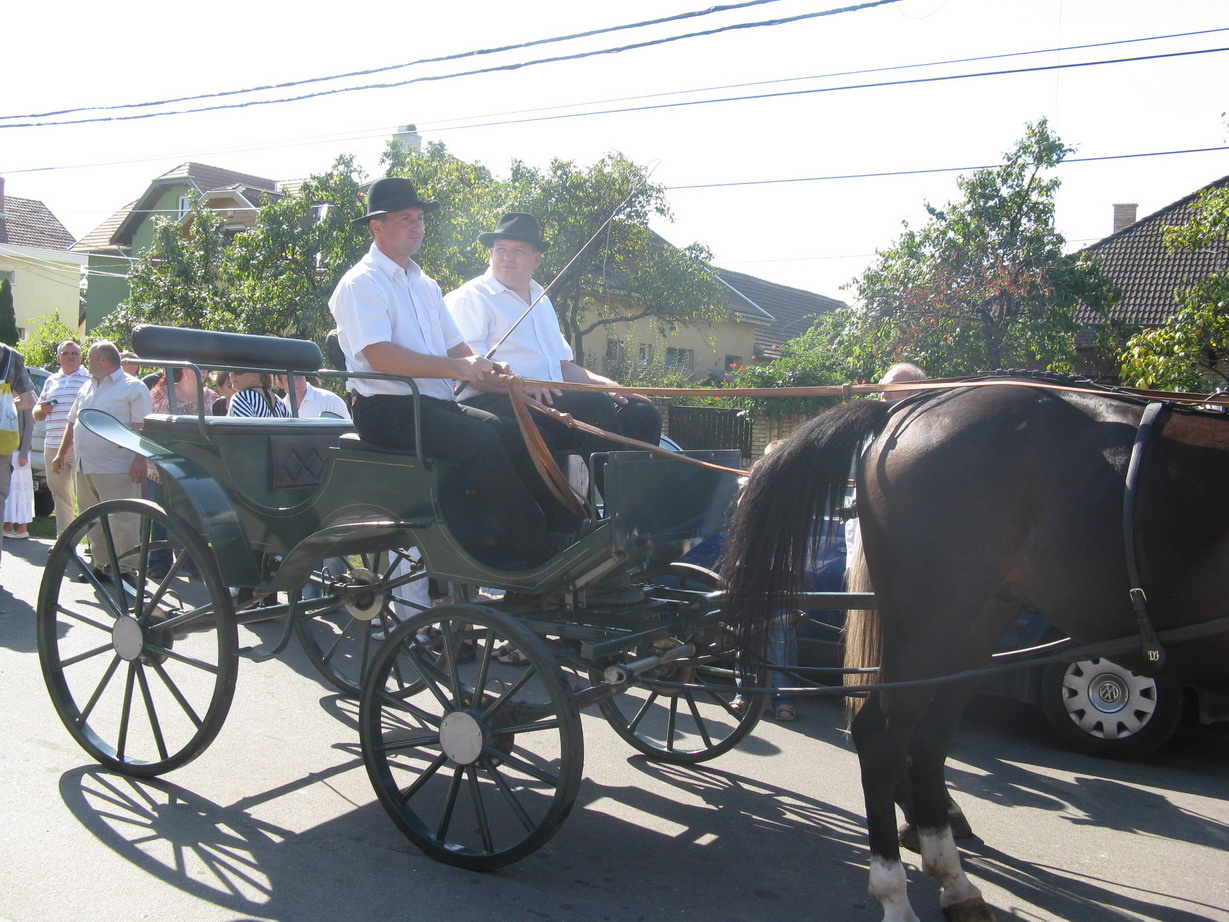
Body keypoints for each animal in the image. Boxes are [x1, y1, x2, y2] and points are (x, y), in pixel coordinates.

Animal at [717, 381, 1229, 922]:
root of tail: (909, 408)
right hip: (933, 618)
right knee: (882, 735)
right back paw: (896, 891)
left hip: (974, 622)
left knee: (928, 737)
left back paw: (952, 876)